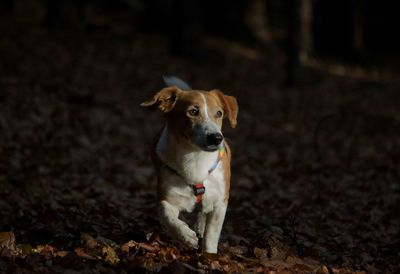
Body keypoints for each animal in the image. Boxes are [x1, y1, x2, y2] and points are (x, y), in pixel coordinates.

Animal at [141, 76, 238, 253]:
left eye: (219, 113)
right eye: (193, 112)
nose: (216, 138)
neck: (196, 158)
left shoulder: (220, 202)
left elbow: (211, 235)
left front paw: (209, 254)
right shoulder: (167, 198)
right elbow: (167, 215)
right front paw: (186, 236)